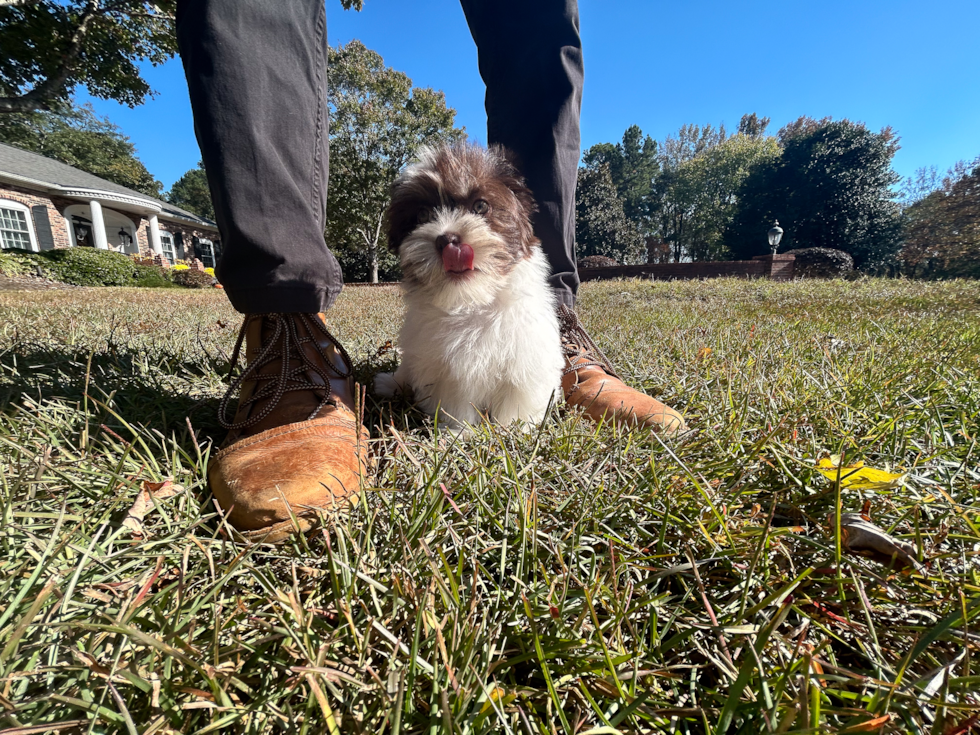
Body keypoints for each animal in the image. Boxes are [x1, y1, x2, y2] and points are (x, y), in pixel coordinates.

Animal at [374, 142, 564, 434]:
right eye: (423, 215)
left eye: (480, 206)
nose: (447, 240)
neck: (471, 301)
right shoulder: (446, 369)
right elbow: (455, 397)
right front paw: (458, 431)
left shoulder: (526, 356)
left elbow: (517, 395)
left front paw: (515, 428)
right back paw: (391, 383)